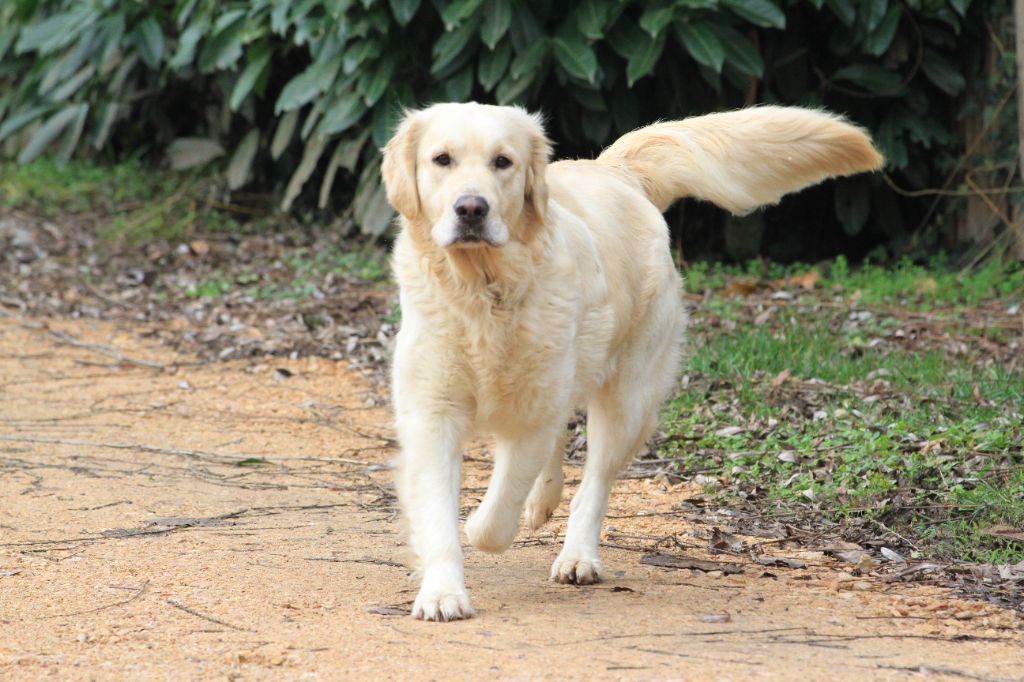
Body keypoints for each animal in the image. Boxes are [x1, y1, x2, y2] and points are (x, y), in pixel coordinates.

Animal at [382, 100, 880, 614]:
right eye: (442, 159)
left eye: (503, 162)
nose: (471, 208)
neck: (484, 291)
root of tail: (615, 170)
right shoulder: (432, 412)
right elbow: (439, 512)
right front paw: (443, 593)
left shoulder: (532, 413)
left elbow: (494, 518)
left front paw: (482, 526)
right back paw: (543, 502)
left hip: (627, 400)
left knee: (593, 484)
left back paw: (577, 555)